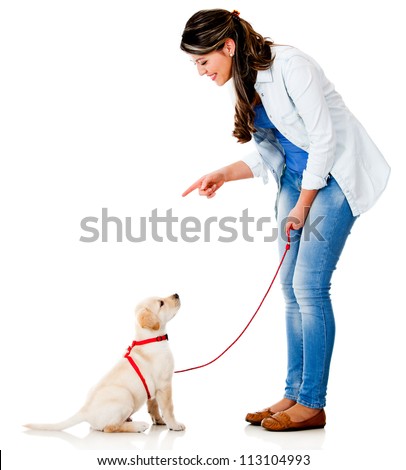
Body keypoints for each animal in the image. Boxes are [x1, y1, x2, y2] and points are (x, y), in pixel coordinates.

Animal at [24, 294, 185, 434]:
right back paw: (137, 426)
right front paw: (174, 425)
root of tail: (84, 411)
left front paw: (159, 422)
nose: (176, 294)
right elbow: (169, 408)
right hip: (124, 396)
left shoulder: (153, 389)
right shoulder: (165, 385)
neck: (151, 338)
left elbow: (154, 406)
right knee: (110, 428)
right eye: (161, 303)